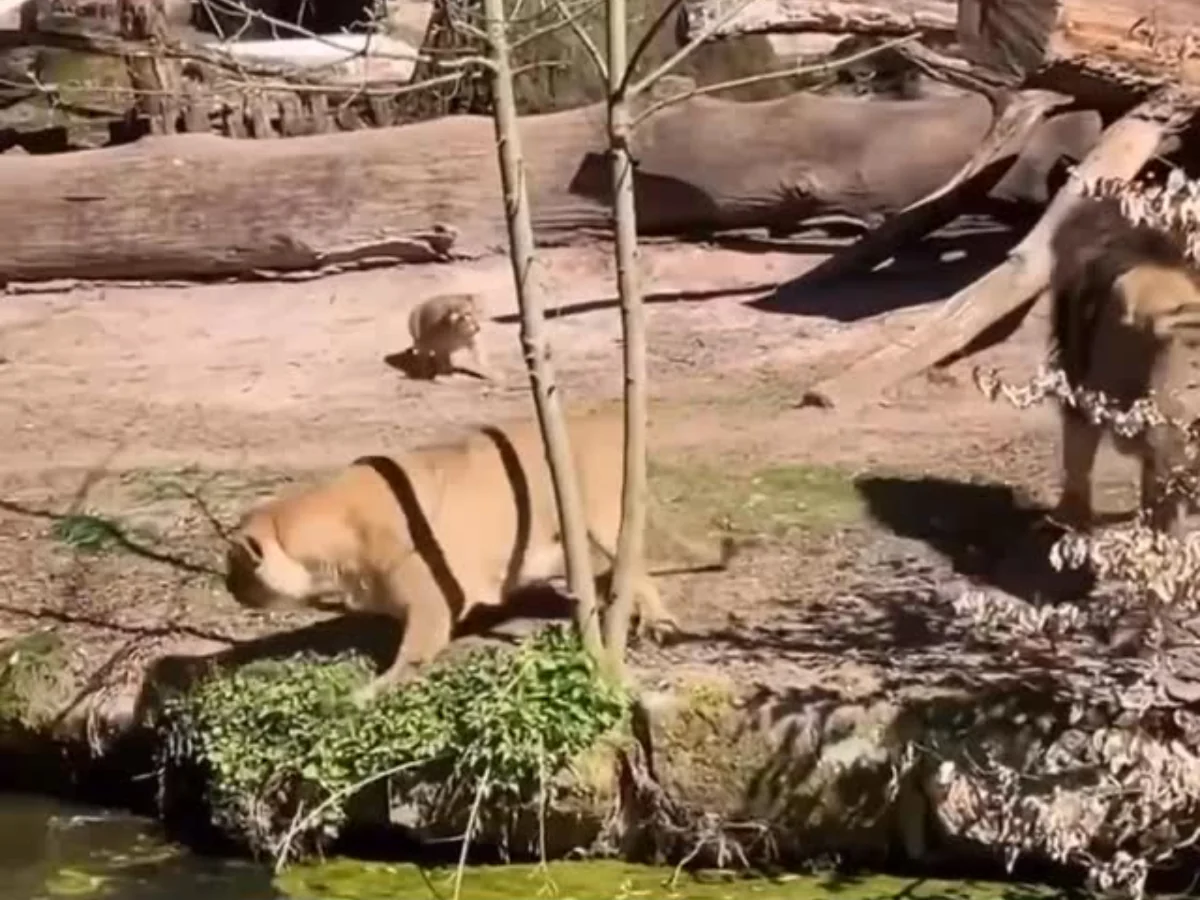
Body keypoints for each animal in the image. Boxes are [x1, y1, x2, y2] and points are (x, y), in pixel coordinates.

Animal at [224, 408, 738, 703]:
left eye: (236, 569)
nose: (228, 588)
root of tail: (609, 422)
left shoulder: (431, 604)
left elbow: (408, 659)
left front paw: (360, 696)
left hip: (603, 519)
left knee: (638, 569)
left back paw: (656, 622)